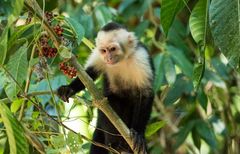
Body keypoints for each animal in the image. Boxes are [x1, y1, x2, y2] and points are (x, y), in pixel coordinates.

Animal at [57, 22, 154, 154]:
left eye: (113, 49)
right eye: (104, 50)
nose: (108, 58)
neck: (122, 60)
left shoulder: (141, 57)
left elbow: (145, 93)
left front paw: (139, 133)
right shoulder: (98, 55)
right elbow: (88, 75)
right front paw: (69, 89)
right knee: (110, 103)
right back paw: (115, 143)